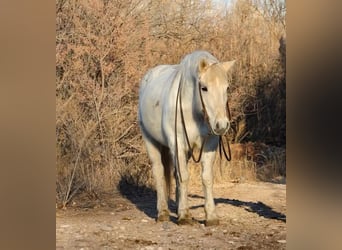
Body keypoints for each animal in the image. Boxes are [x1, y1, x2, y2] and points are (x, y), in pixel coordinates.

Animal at [137, 49, 235, 226]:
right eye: (204, 88)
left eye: (227, 88)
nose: (222, 125)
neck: (192, 109)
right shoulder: (178, 145)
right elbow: (183, 177)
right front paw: (184, 216)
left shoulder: (209, 145)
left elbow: (206, 178)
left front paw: (210, 216)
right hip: (150, 140)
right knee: (159, 172)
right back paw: (163, 212)